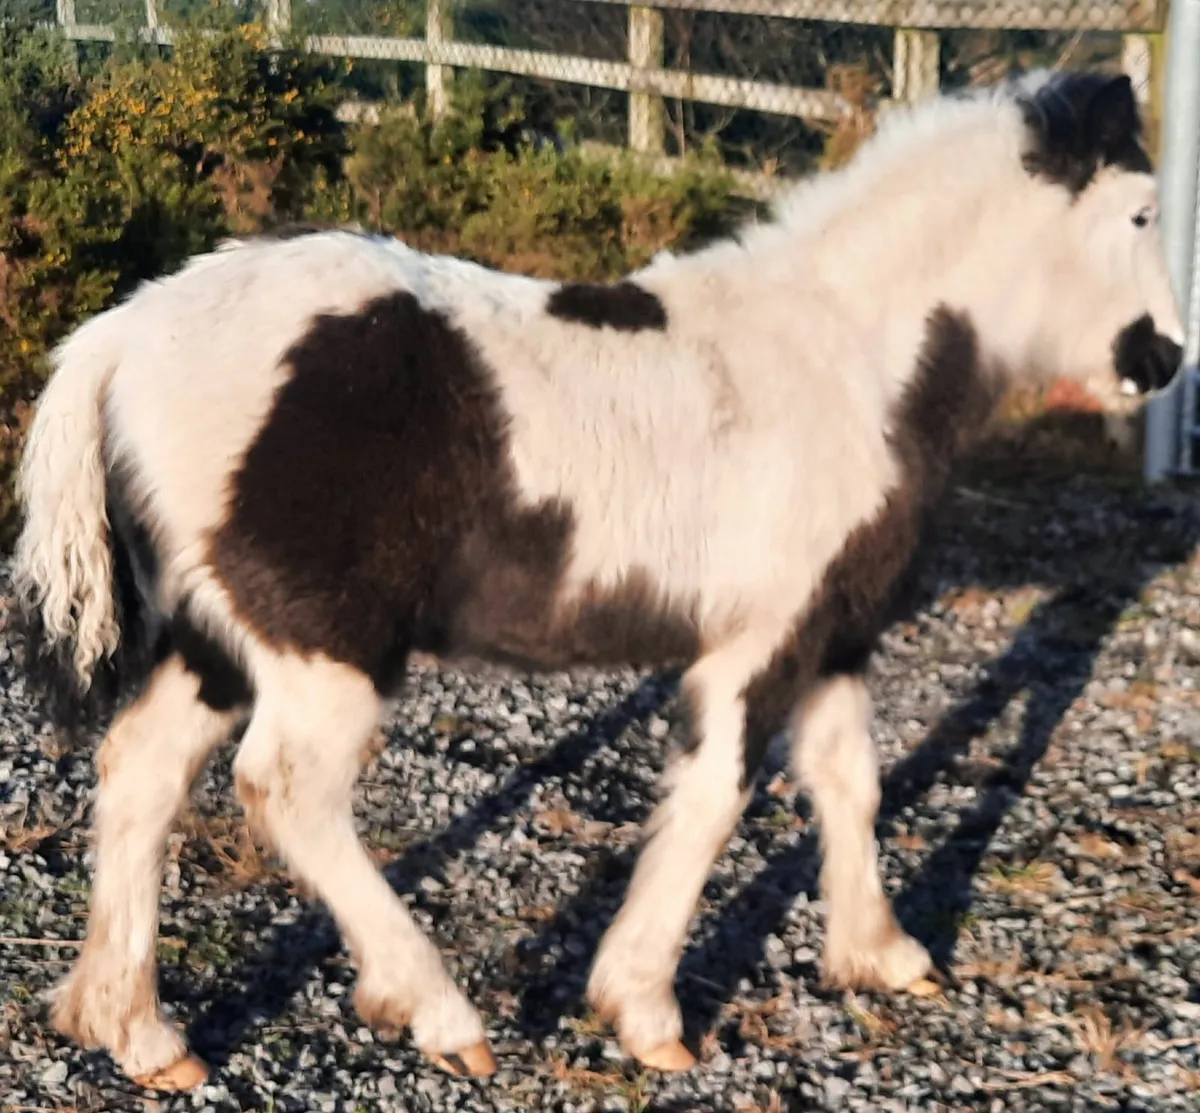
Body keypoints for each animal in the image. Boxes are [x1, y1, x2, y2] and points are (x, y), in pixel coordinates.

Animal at [11, 68, 1183, 1090]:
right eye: (1140, 215)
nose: (1164, 358)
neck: (849, 359)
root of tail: (122, 334)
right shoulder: (758, 638)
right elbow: (716, 796)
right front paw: (646, 1009)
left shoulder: (833, 628)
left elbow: (849, 780)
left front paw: (881, 954)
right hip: (324, 648)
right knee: (288, 789)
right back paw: (436, 1011)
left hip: (221, 637)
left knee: (140, 770)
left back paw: (135, 1031)